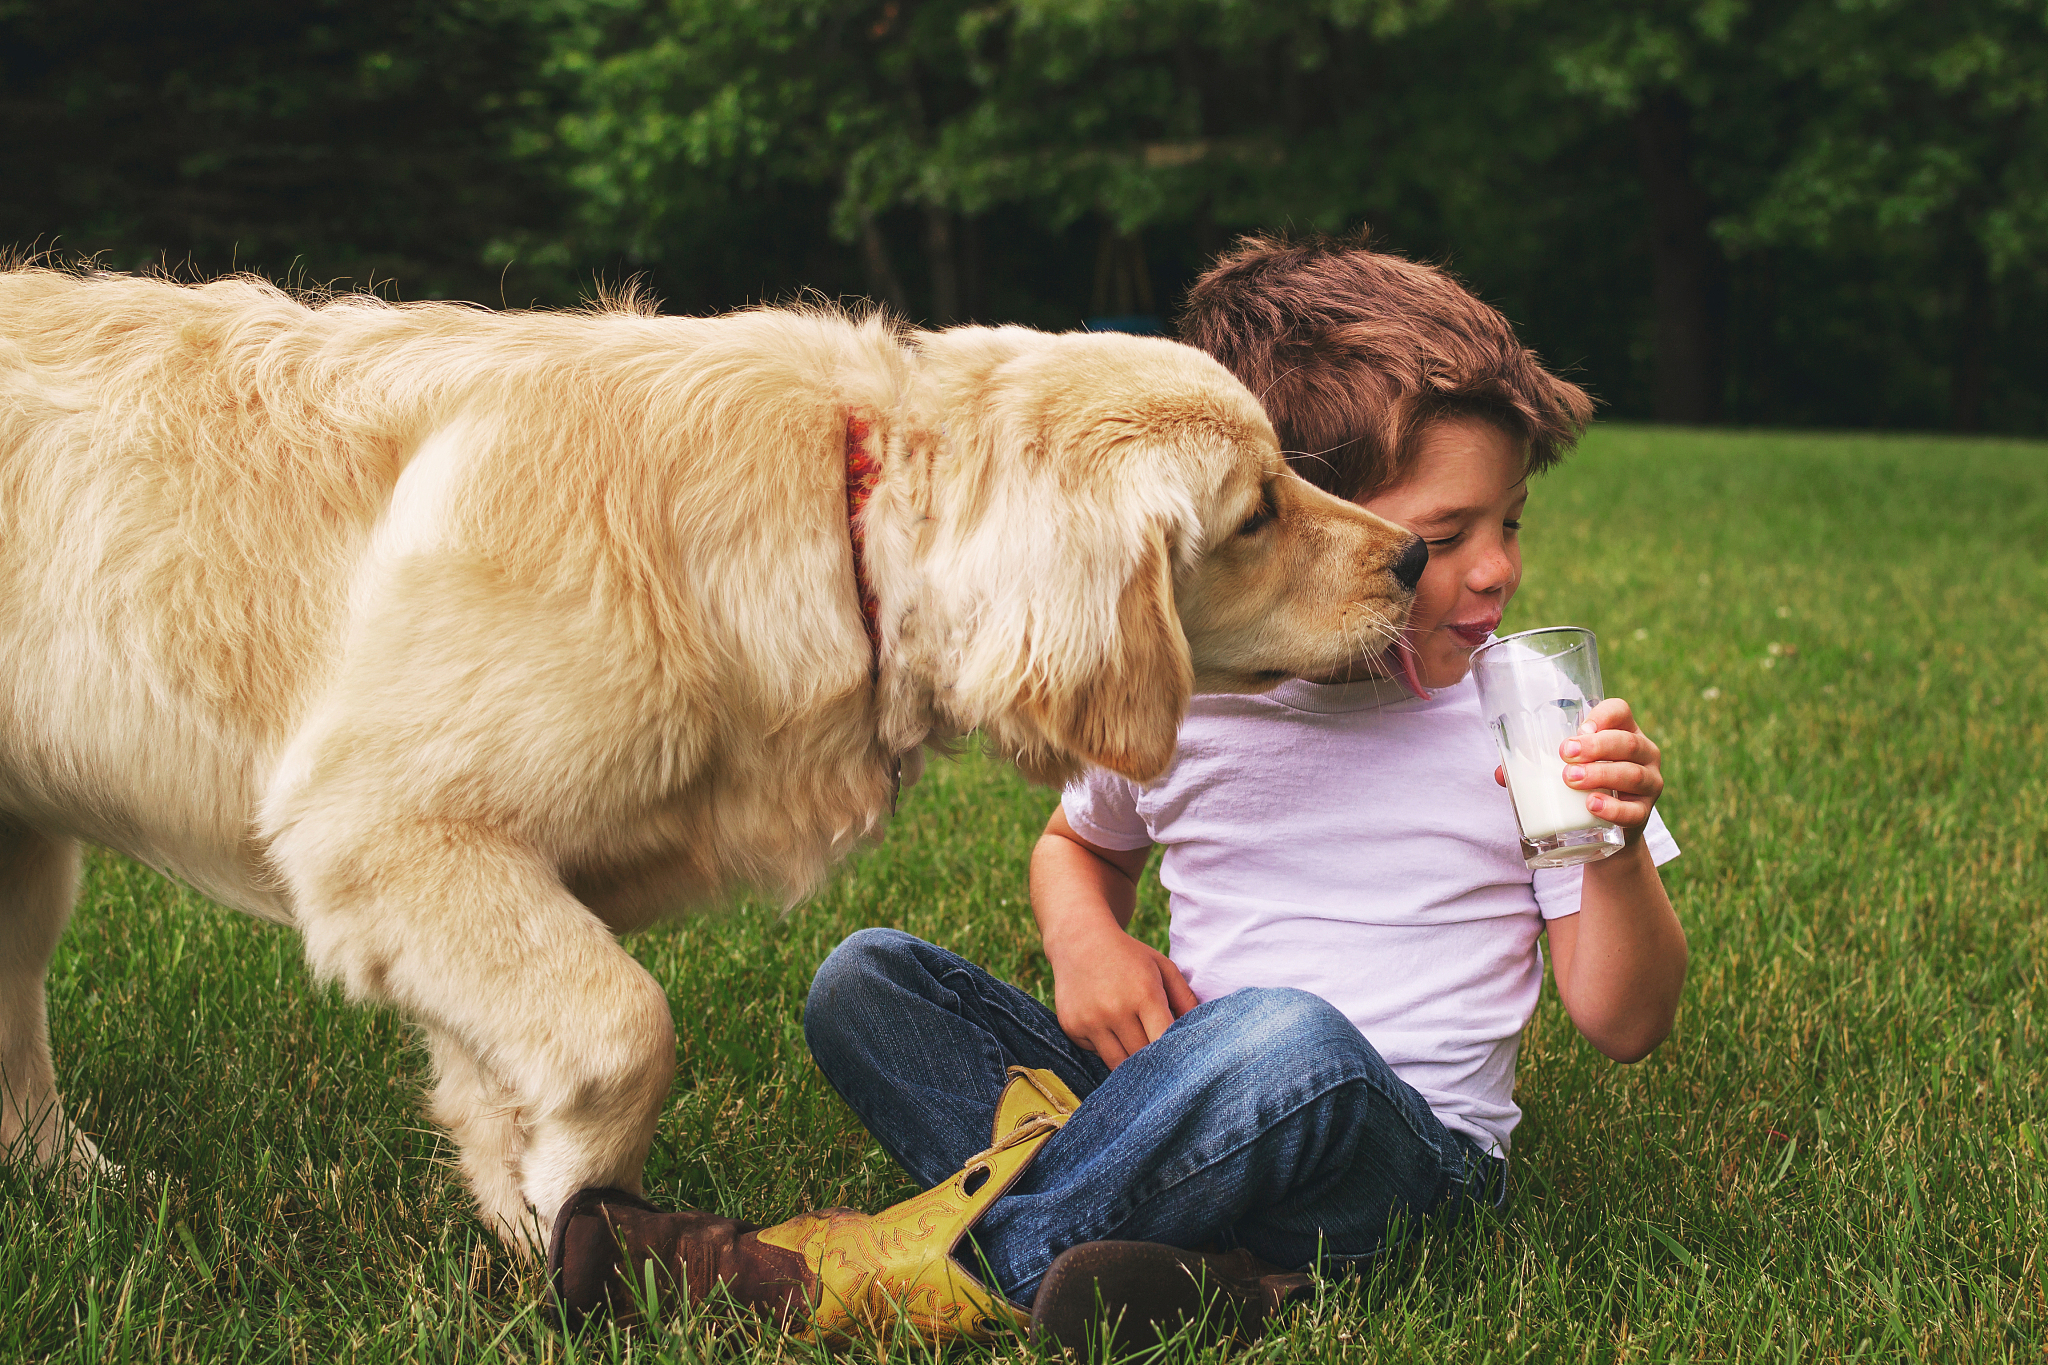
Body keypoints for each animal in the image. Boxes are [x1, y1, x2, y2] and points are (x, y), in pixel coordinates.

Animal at [0, 261, 1425, 1252]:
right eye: (1254, 512)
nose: (1412, 557)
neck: (839, 515)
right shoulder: (384, 827)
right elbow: (624, 1025)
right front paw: (579, 1213)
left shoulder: (463, 872)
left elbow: (498, 1075)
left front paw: (531, 1222)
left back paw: (68, 1182)